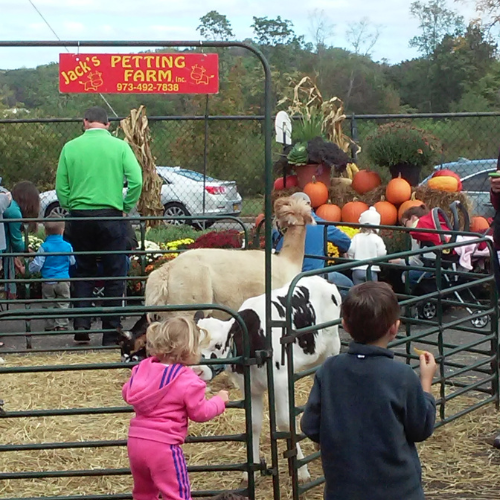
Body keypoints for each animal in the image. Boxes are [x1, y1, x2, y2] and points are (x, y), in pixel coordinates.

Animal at [193, 276, 342, 482]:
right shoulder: (250, 387)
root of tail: (322, 279)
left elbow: (285, 422)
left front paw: (302, 472)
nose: (197, 371)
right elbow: (254, 425)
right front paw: (252, 472)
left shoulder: (279, 382)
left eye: (218, 344)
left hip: (331, 349)